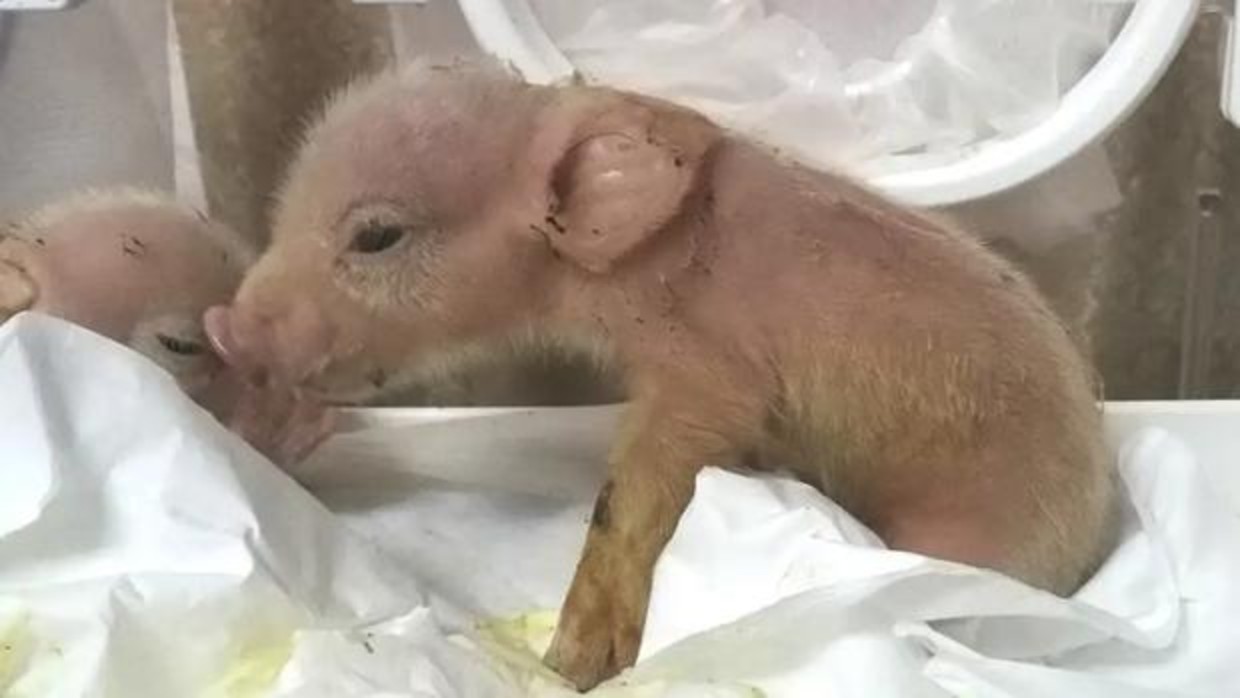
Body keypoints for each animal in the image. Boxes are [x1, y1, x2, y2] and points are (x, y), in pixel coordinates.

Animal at [204, 62, 1117, 691]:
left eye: (377, 237)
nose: (224, 325)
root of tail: (1091, 537)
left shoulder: (707, 372)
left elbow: (638, 490)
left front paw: (568, 664)